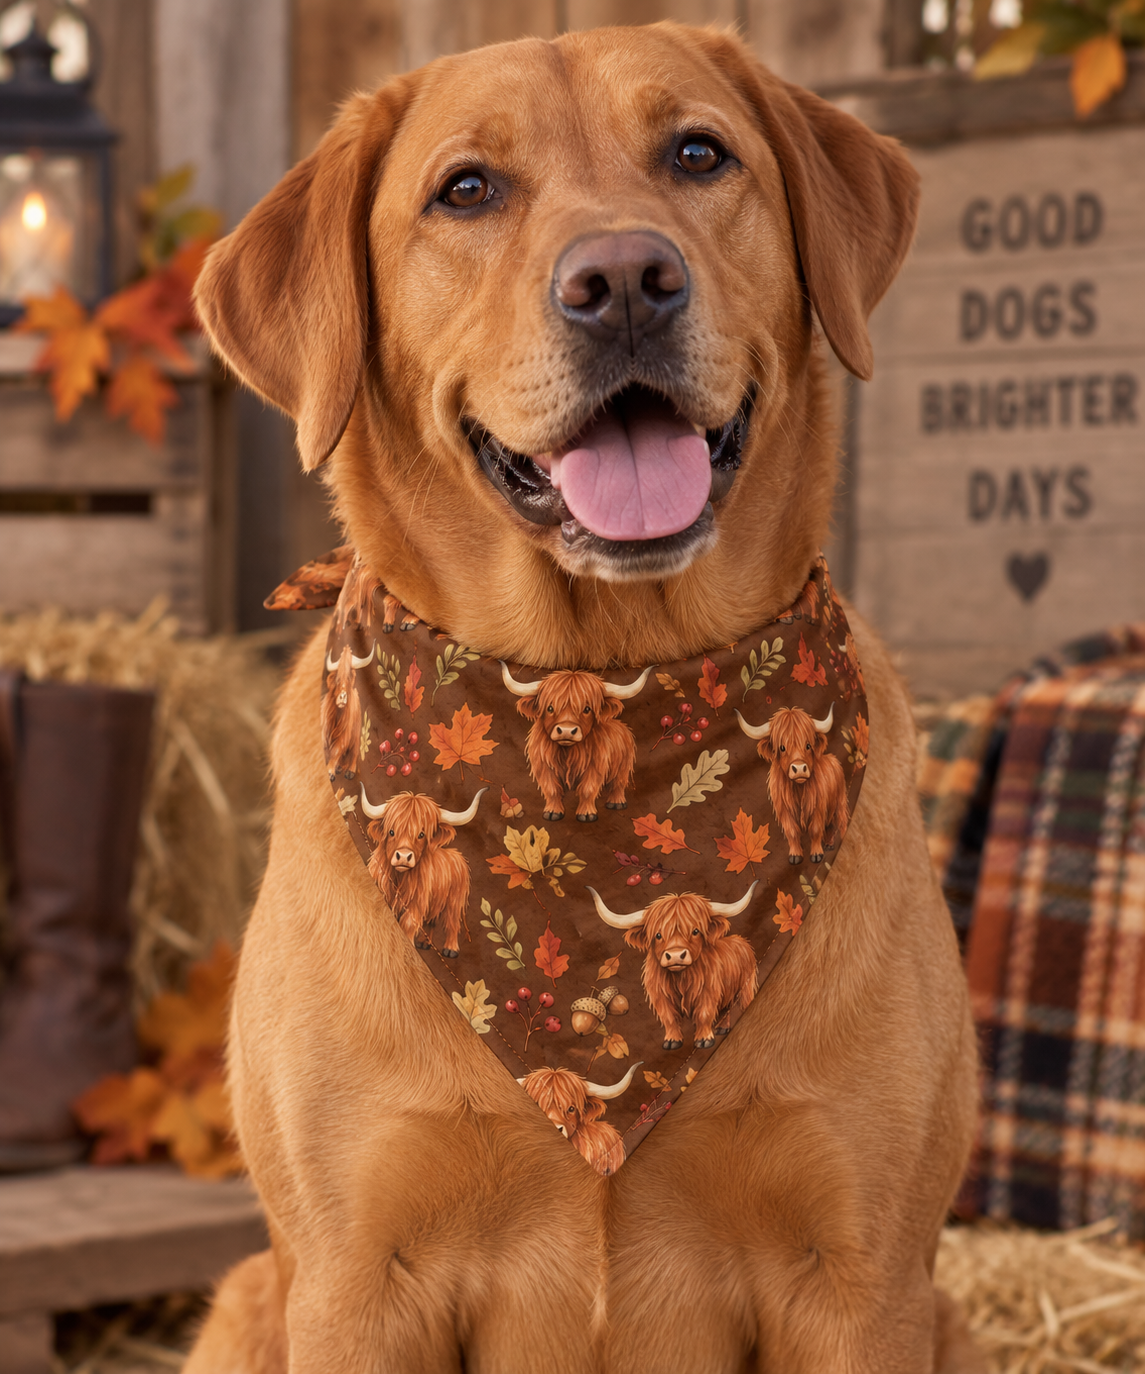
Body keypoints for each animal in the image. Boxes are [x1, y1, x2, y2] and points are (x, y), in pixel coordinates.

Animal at [322, 643, 374, 779]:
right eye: (337, 678)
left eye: (349, 677)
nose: (343, 696)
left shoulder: (344, 736)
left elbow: (336, 751)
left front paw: (330, 771)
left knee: (355, 751)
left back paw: (349, 771)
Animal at [359, 786, 485, 956]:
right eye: (391, 832)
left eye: (421, 834)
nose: (403, 857)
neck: (399, 879)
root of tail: (457, 855)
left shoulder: (417, 902)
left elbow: (408, 923)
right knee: (431, 922)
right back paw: (423, 943)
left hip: (454, 901)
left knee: (452, 922)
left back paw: (450, 949)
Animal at [499, 663, 654, 822]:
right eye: (550, 708)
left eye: (587, 709)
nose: (566, 730)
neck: (568, 752)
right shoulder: (543, 765)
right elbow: (552, 789)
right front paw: (552, 812)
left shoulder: (596, 766)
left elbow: (588, 789)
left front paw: (586, 814)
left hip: (624, 765)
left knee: (618, 783)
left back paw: (616, 803)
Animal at [587, 885, 758, 1050]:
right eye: (658, 935)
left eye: (695, 931)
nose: (676, 955)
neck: (681, 978)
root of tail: (741, 940)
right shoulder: (660, 996)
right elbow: (669, 1018)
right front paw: (672, 1041)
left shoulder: (708, 992)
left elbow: (704, 1014)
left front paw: (704, 1039)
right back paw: (722, 1028)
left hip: (746, 987)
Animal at [735, 704, 848, 864]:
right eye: (782, 748)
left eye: (808, 745)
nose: (799, 768)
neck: (798, 790)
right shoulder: (783, 810)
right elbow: (792, 831)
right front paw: (795, 856)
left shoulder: (818, 807)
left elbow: (815, 829)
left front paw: (816, 854)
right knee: (830, 826)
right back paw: (828, 845)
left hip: (840, 803)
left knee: (841, 822)